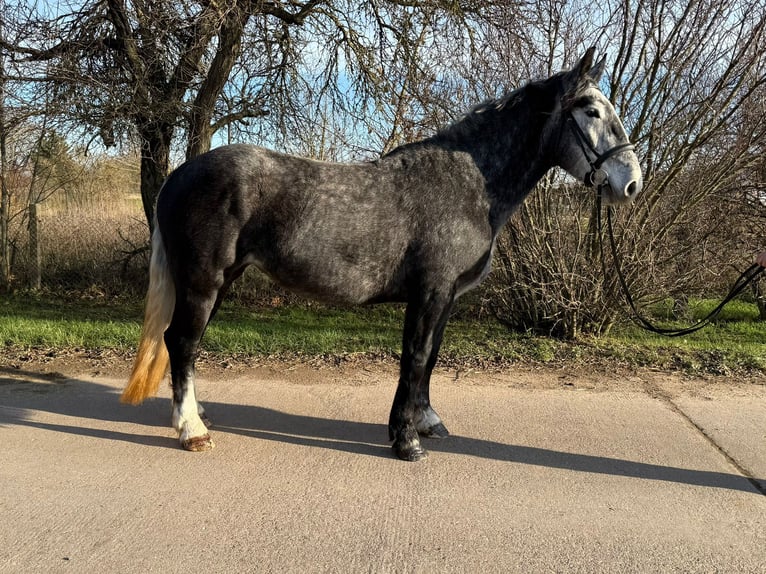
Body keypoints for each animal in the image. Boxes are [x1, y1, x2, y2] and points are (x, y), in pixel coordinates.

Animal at [123, 49, 644, 464]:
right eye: (592, 110)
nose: (631, 183)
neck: (470, 185)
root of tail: (179, 175)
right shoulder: (430, 291)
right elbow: (415, 357)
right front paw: (405, 440)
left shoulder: (445, 297)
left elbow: (431, 357)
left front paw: (426, 420)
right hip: (203, 281)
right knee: (182, 342)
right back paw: (191, 430)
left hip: (220, 281)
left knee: (186, 344)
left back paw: (196, 412)